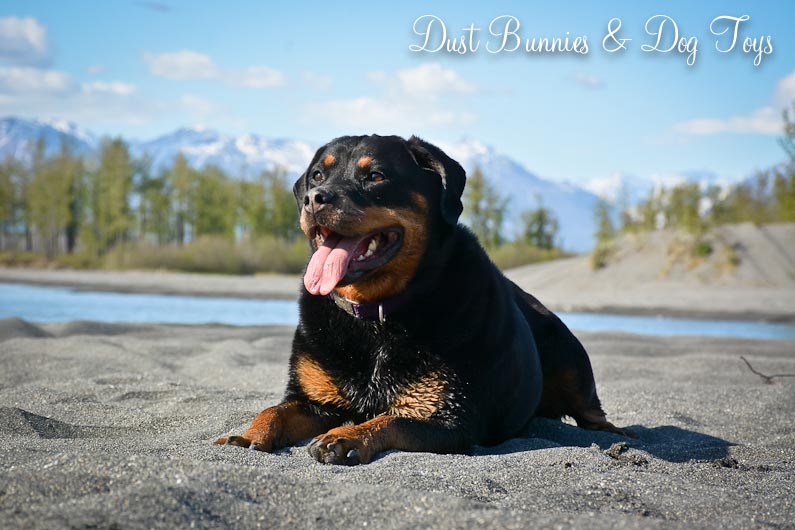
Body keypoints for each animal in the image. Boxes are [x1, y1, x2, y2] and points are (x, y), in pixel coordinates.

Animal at [216, 134, 631, 465]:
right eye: (317, 175)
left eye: (375, 176)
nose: (314, 198)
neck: (377, 315)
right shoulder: (314, 400)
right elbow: (274, 410)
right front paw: (249, 435)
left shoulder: (449, 418)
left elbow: (390, 419)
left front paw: (346, 436)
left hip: (568, 355)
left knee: (592, 412)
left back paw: (620, 438)